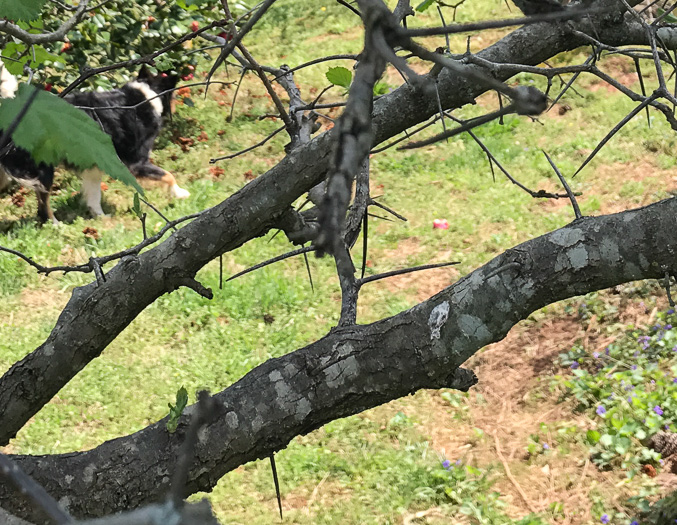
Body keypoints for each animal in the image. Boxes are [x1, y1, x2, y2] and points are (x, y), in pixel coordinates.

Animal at [0, 65, 190, 221]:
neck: (147, 96)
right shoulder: (137, 162)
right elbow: (168, 175)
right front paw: (180, 193)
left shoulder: (94, 165)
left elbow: (94, 194)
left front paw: (100, 217)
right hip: (43, 168)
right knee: (43, 202)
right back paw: (55, 224)